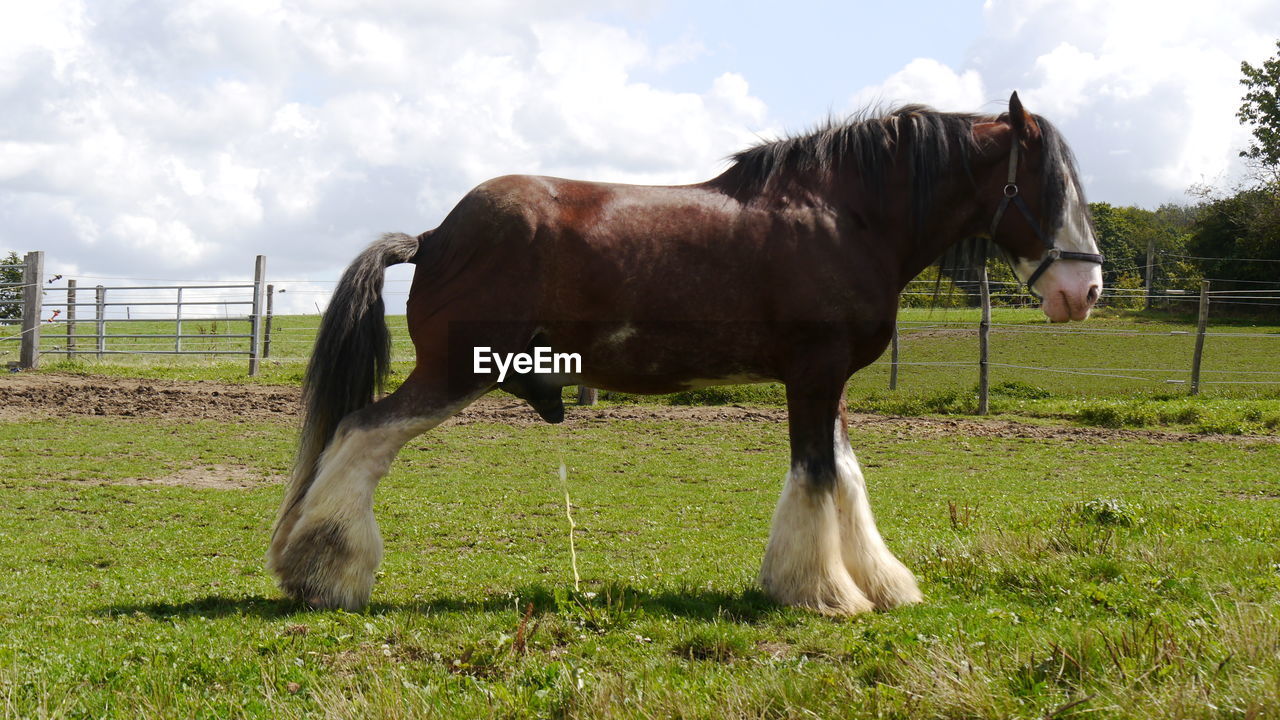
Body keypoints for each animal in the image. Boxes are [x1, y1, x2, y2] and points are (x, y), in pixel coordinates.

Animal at [267, 90, 1100, 609]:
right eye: (1047, 185)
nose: (1084, 290)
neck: (844, 216)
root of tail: (435, 234)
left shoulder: (828, 382)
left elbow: (846, 477)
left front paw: (881, 584)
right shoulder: (813, 374)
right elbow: (817, 477)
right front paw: (823, 591)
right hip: (452, 372)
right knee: (360, 436)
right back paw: (323, 576)